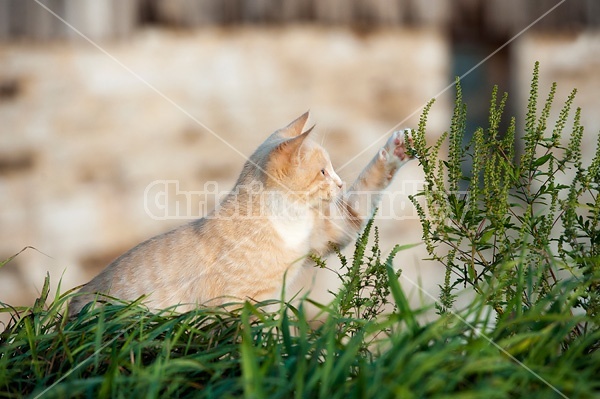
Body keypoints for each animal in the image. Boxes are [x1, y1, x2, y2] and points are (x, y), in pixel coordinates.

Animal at [68, 114, 414, 318]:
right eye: (323, 172)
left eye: (332, 170)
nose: (340, 183)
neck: (288, 222)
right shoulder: (237, 305)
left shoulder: (333, 228)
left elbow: (366, 189)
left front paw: (397, 150)